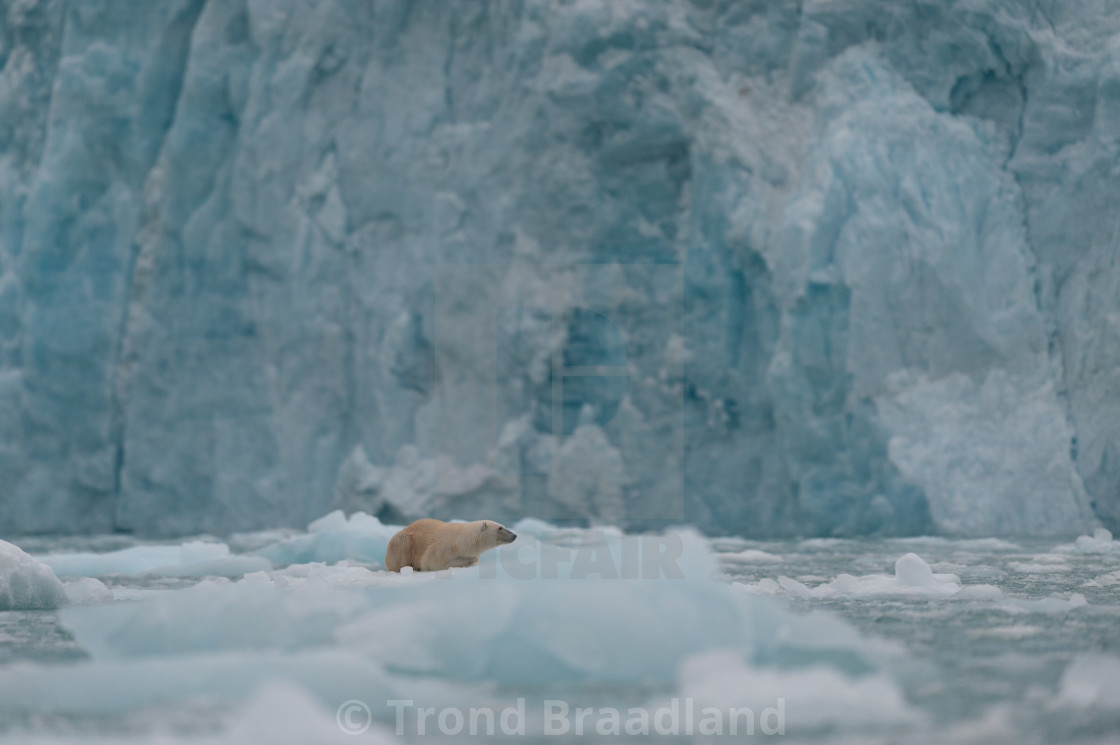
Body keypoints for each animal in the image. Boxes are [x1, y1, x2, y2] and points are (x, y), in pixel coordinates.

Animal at [383, 519, 517, 571]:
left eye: (504, 526)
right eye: (500, 528)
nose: (514, 535)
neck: (461, 541)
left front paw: (472, 560)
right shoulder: (441, 547)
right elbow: (431, 561)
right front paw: (468, 561)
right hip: (403, 541)